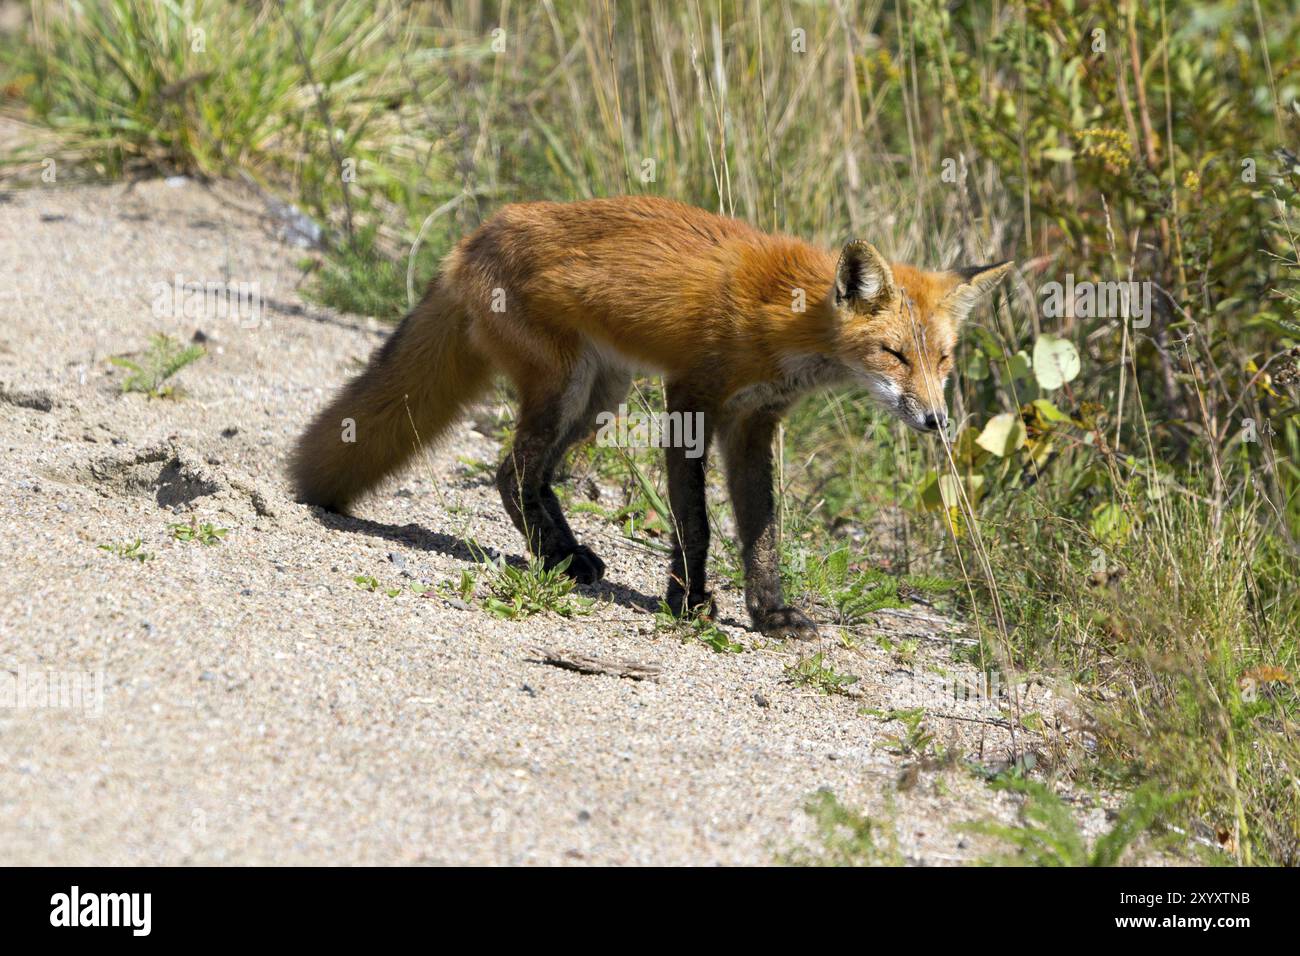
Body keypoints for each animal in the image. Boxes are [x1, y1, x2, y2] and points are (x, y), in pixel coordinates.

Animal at [291, 197, 1012, 640]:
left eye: (943, 359)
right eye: (893, 354)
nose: (936, 421)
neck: (789, 319)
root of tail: (473, 236)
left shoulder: (755, 425)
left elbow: (762, 532)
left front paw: (770, 613)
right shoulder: (690, 398)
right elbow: (695, 522)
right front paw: (687, 601)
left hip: (597, 400)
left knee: (528, 476)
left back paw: (567, 556)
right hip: (565, 389)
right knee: (510, 473)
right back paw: (559, 556)